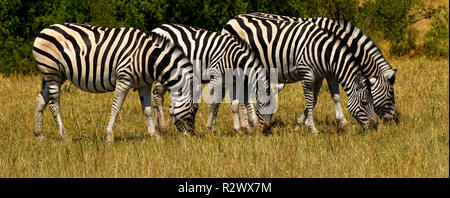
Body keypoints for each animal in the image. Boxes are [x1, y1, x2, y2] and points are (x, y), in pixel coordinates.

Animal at [31, 22, 197, 141]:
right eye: (193, 110)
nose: (191, 137)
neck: (148, 59)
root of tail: (44, 30)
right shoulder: (124, 79)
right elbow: (116, 108)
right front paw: (109, 135)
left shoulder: (144, 84)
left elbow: (148, 110)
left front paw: (155, 136)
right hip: (51, 72)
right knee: (54, 105)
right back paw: (64, 136)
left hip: (57, 74)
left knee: (40, 100)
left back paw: (39, 135)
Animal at [234, 12, 400, 127]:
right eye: (391, 93)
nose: (396, 120)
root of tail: (236, 18)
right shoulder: (316, 70)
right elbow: (314, 98)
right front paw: (303, 122)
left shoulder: (327, 72)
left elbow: (332, 97)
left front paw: (341, 122)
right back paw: (252, 122)